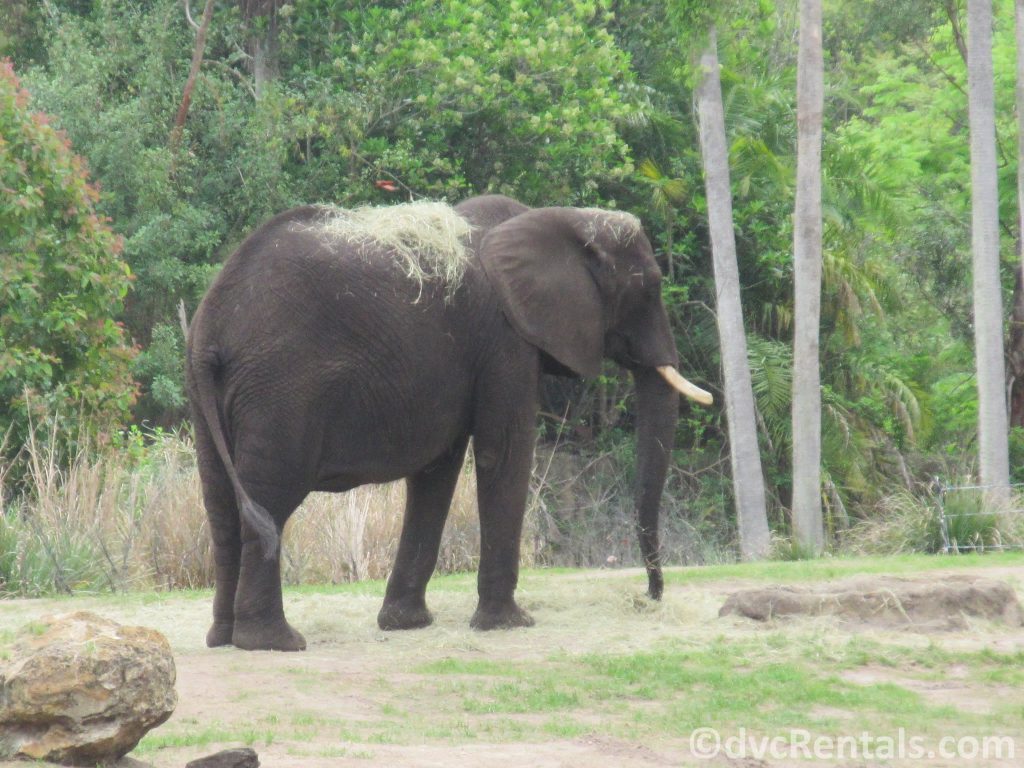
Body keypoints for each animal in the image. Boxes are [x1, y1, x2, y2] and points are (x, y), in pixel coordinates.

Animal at [184, 195, 712, 651]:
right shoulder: (505, 340)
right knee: (270, 501)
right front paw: (510, 625)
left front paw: (405, 624)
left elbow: (437, 471)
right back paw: (275, 643)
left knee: (221, 507)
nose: (650, 596)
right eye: (650, 288)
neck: (561, 219)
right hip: (282, 389)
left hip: (207, 393)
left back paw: (223, 638)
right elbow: (504, 452)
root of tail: (211, 324)